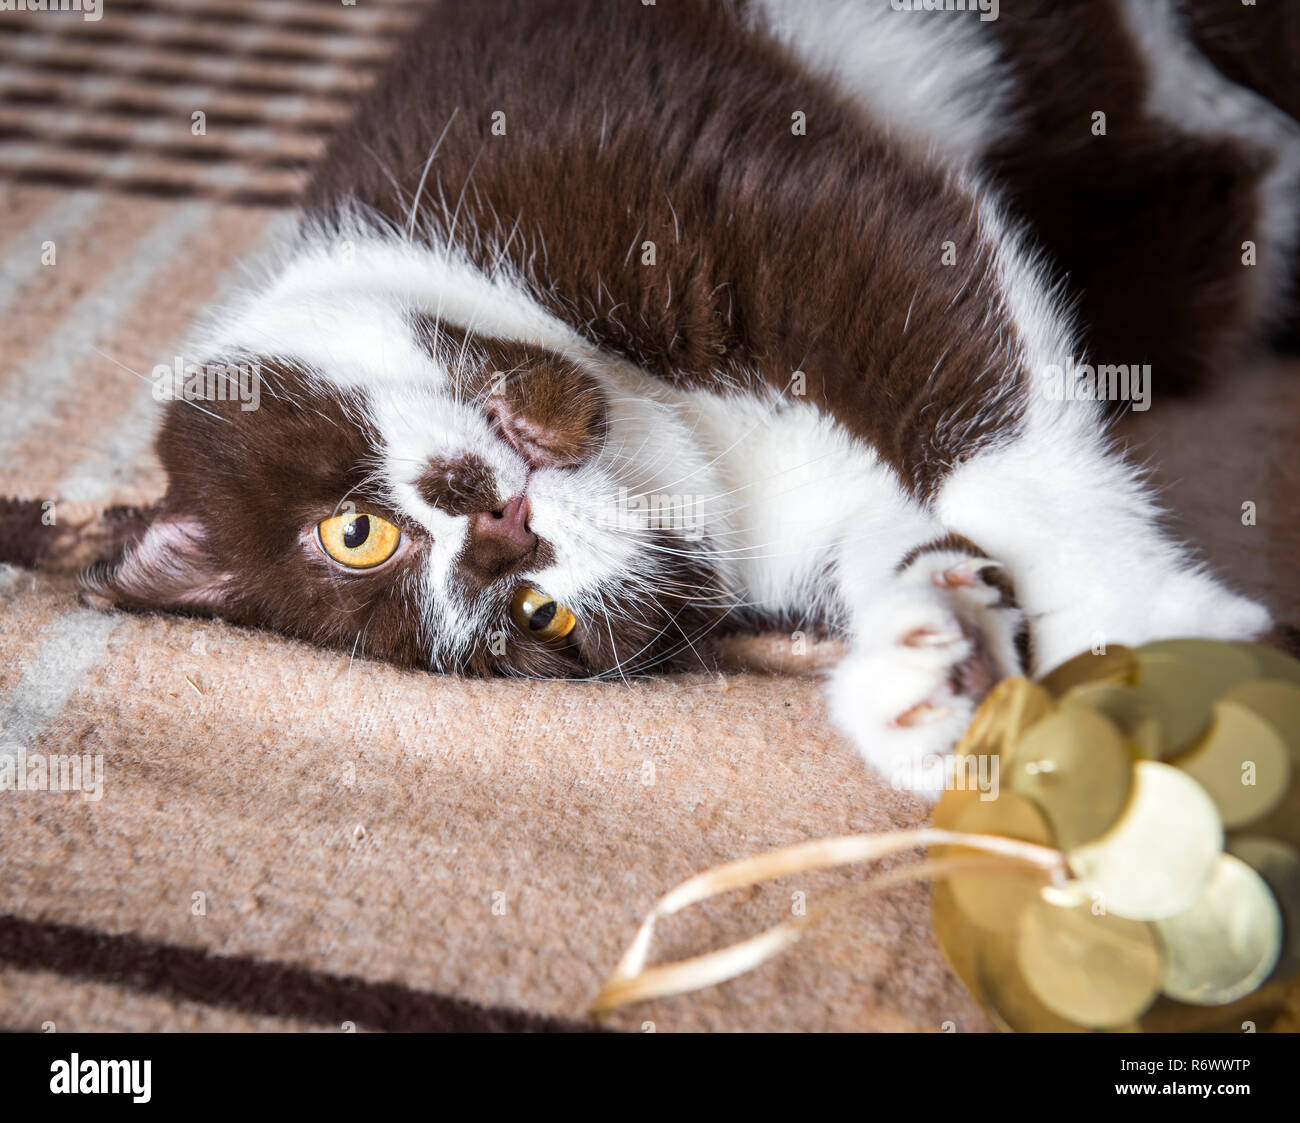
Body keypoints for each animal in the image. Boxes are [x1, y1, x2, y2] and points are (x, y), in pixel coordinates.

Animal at [81, 0, 1300, 790]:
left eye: (352, 531)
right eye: (541, 619)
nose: (503, 529)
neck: (671, 420)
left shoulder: (632, 138)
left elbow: (934, 319)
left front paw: (1142, 639)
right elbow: (887, 525)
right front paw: (929, 662)